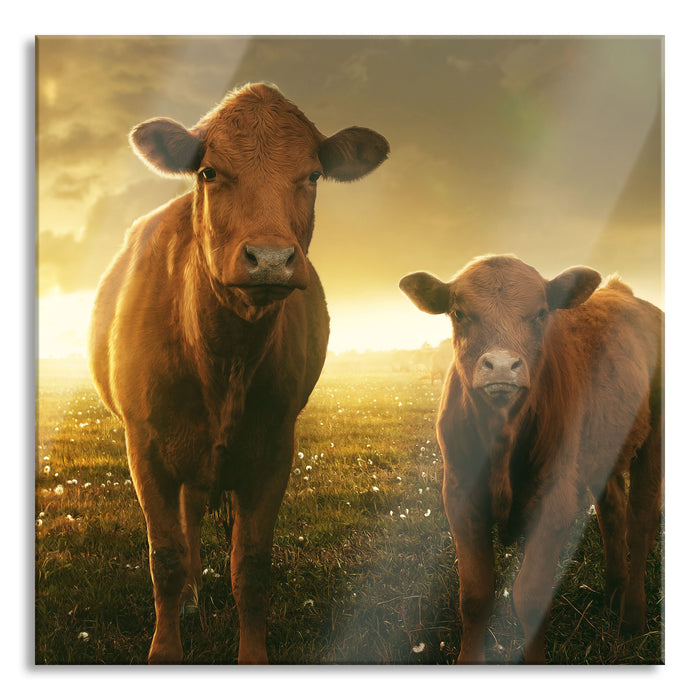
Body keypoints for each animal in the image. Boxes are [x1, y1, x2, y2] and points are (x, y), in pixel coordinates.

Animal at [88, 83, 389, 664]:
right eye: (209, 171)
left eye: (313, 174)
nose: (269, 259)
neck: (223, 358)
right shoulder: (144, 445)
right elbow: (165, 557)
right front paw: (165, 649)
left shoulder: (274, 447)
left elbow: (250, 565)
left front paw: (252, 656)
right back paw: (187, 601)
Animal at [399, 255, 663, 664]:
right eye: (459, 313)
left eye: (541, 313)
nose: (501, 365)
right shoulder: (460, 496)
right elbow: (475, 594)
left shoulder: (554, 501)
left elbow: (531, 596)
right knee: (614, 512)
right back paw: (614, 589)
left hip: (654, 440)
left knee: (641, 522)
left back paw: (632, 617)